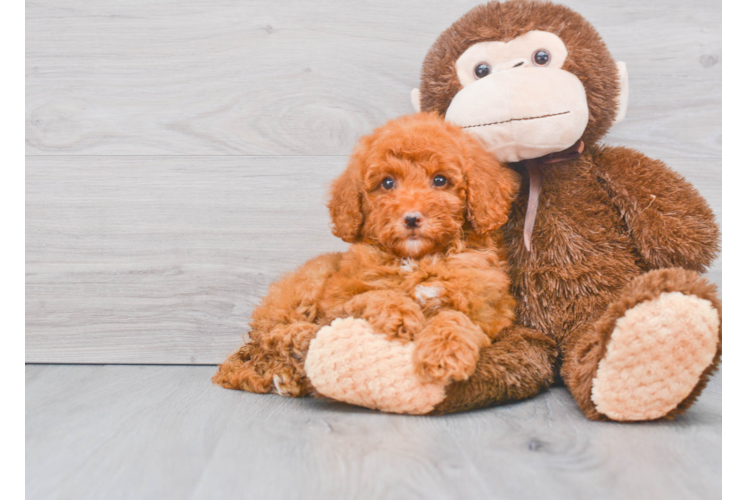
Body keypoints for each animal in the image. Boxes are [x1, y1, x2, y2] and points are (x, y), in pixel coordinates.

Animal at [213, 112, 520, 398]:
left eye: (440, 180)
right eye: (387, 183)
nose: (411, 218)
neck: (417, 259)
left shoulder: (488, 307)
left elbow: (456, 318)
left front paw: (445, 354)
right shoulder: (336, 300)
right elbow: (373, 295)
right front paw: (401, 314)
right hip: (306, 284)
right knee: (269, 336)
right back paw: (298, 342)